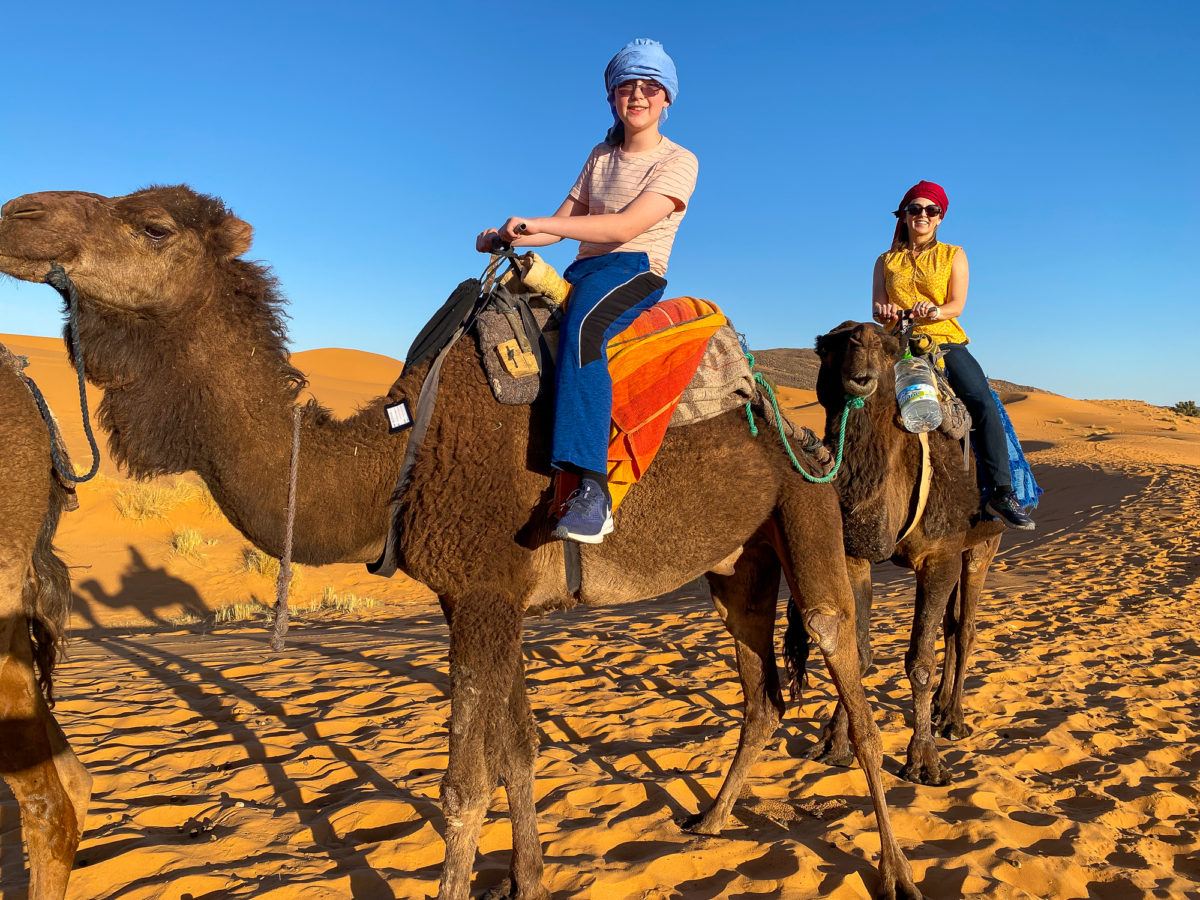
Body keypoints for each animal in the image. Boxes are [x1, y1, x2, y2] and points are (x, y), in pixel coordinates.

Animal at [0, 188, 916, 900]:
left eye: (153, 225)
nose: (19, 214)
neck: (400, 449)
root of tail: (786, 411)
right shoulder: (484, 597)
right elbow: (518, 753)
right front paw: (530, 879)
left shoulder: (482, 594)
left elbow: (464, 783)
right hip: (738, 567)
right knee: (761, 691)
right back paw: (710, 819)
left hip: (806, 505)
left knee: (841, 651)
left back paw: (897, 871)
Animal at [801, 321, 1008, 787]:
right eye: (826, 347)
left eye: (889, 348)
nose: (858, 349)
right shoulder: (856, 557)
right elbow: (858, 653)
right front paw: (835, 744)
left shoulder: (938, 557)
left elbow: (920, 661)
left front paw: (925, 760)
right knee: (951, 625)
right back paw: (942, 708)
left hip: (982, 545)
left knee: (965, 629)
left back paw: (953, 719)